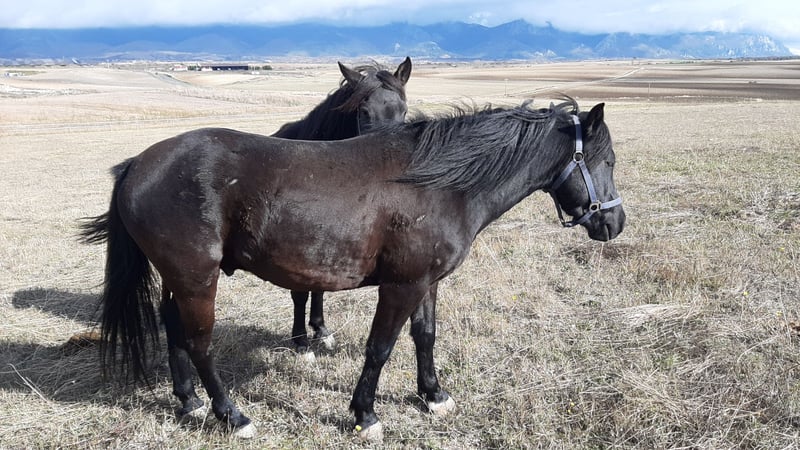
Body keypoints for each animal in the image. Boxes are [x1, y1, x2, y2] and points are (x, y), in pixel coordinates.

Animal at [79, 97, 625, 441]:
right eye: (608, 161)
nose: (614, 223)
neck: (439, 183)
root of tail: (138, 164)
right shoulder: (401, 286)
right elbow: (380, 348)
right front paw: (366, 414)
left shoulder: (425, 283)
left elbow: (425, 337)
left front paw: (433, 394)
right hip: (198, 278)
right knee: (197, 341)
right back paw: (232, 415)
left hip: (181, 279)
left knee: (173, 329)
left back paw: (188, 402)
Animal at [271, 57, 411, 354]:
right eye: (364, 112)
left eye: (403, 111)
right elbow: (300, 292)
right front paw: (301, 341)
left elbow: (319, 287)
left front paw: (321, 330)